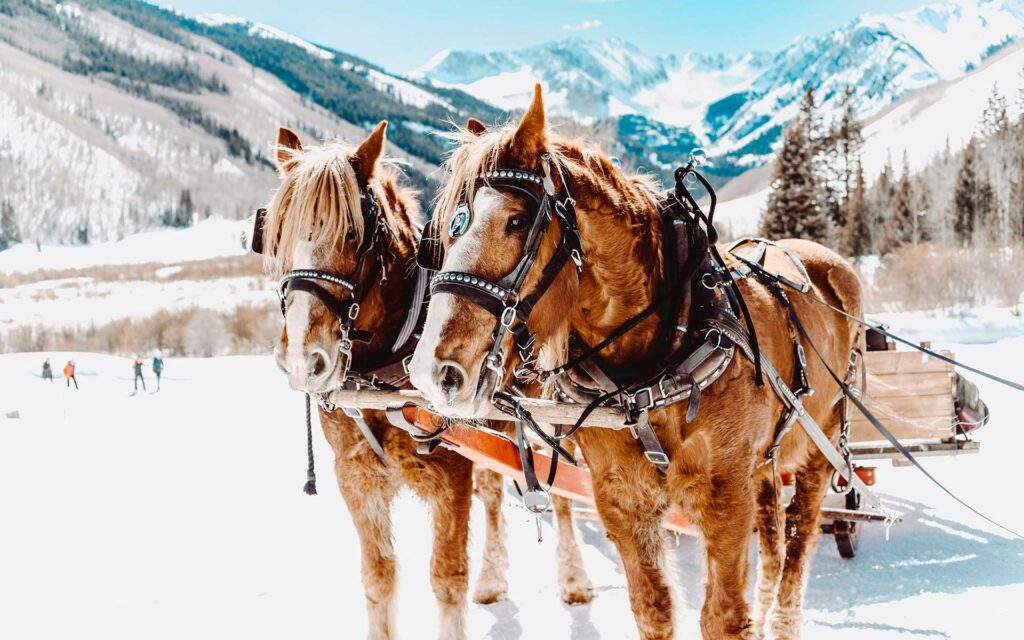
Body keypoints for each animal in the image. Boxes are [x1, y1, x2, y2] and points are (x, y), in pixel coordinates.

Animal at [259, 122, 593, 639]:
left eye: (353, 233)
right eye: (276, 236)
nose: (302, 358)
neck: (381, 380)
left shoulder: (450, 476)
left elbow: (447, 578)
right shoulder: (356, 477)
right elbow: (378, 578)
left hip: (546, 417)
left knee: (558, 492)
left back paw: (573, 578)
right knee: (494, 493)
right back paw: (493, 577)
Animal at [408, 85, 863, 640]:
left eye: (516, 221)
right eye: (447, 231)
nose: (434, 372)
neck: (651, 368)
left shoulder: (725, 497)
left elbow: (723, 618)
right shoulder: (623, 501)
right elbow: (653, 609)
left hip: (822, 445)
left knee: (799, 542)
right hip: (765, 464)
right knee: (775, 540)